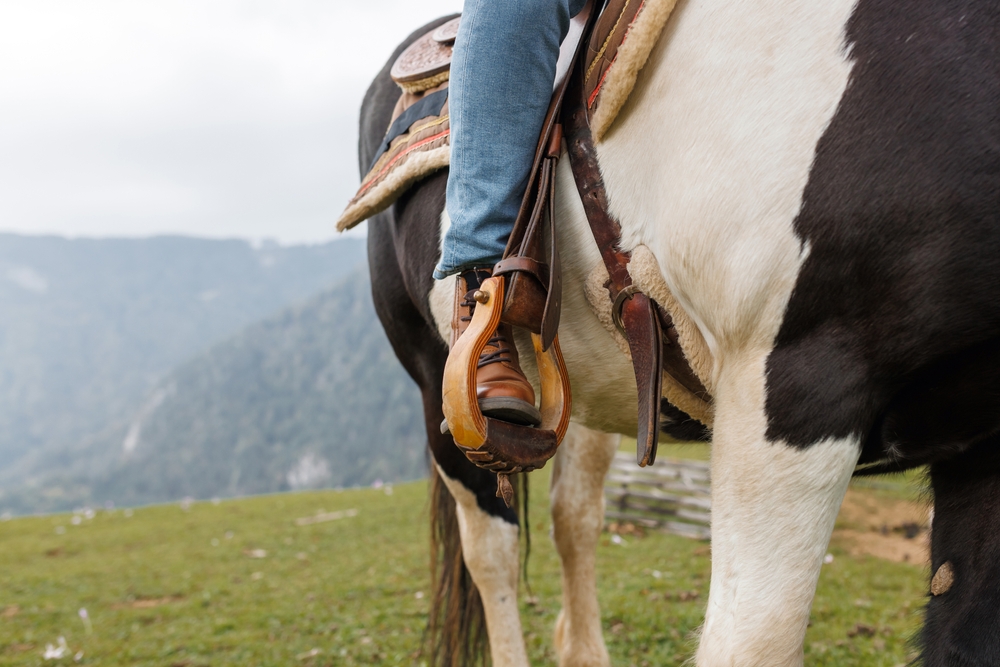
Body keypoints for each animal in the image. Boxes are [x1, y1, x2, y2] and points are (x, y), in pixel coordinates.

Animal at [360, 2, 1000, 665]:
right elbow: (752, 641)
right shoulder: (797, 389)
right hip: (435, 387)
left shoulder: (979, 449)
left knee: (575, 518)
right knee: (493, 553)